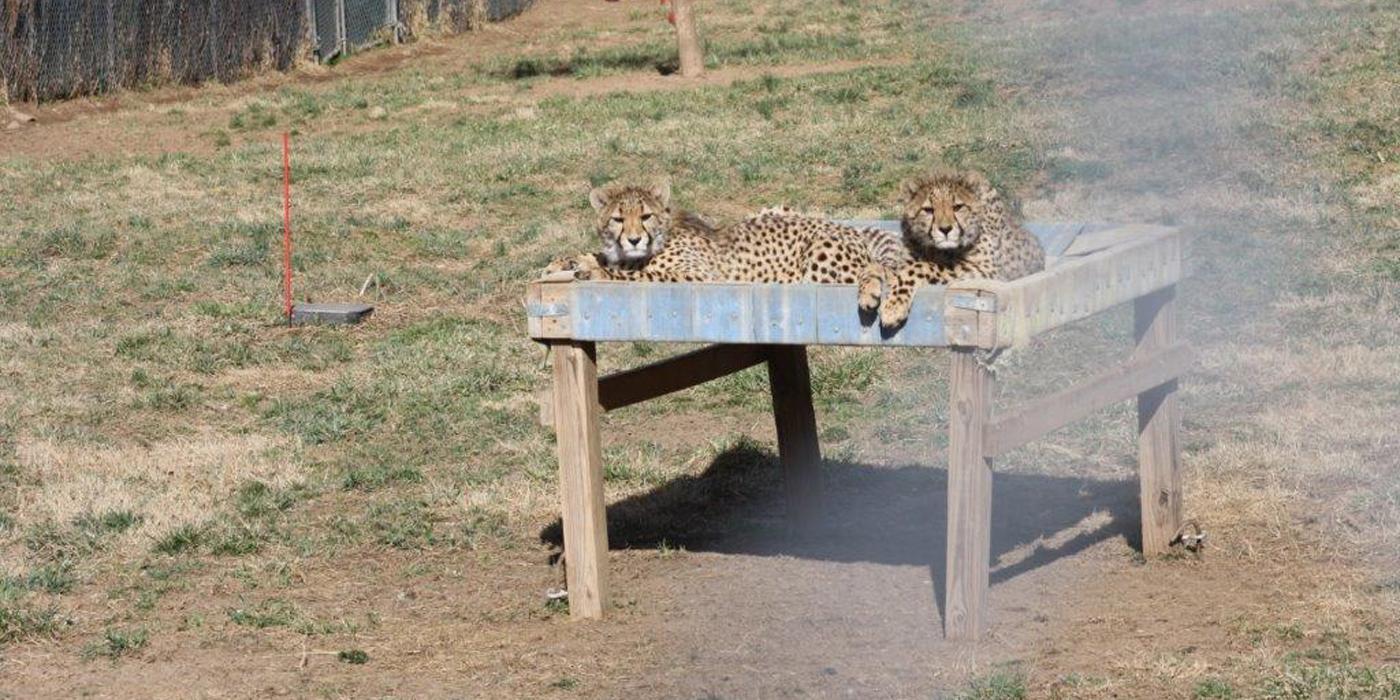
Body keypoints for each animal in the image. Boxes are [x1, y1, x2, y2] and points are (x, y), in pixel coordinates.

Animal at [873, 168, 1052, 327]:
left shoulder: (986, 271)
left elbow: (920, 267)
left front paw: (893, 307)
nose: (945, 229)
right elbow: (887, 268)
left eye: (957, 207)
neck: (936, 250)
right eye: (928, 210)